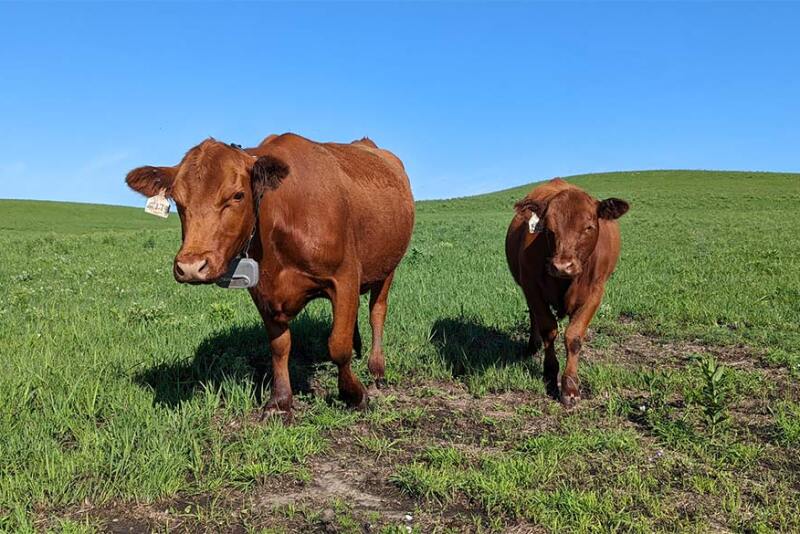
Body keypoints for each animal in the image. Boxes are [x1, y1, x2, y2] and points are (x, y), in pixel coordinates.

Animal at [126, 133, 415, 417]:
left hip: (388, 267)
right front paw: (280, 401)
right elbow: (280, 346)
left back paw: (376, 367)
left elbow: (337, 345)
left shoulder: (344, 276)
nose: (191, 266)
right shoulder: (263, 291)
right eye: (177, 200)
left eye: (238, 195)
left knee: (377, 312)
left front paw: (354, 394)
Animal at [505, 179, 629, 407]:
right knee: (533, 317)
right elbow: (548, 329)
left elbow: (574, 336)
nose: (562, 266)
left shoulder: (595, 292)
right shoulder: (531, 287)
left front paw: (570, 387)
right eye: (548, 229)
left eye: (589, 227)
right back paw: (532, 346)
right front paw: (549, 374)